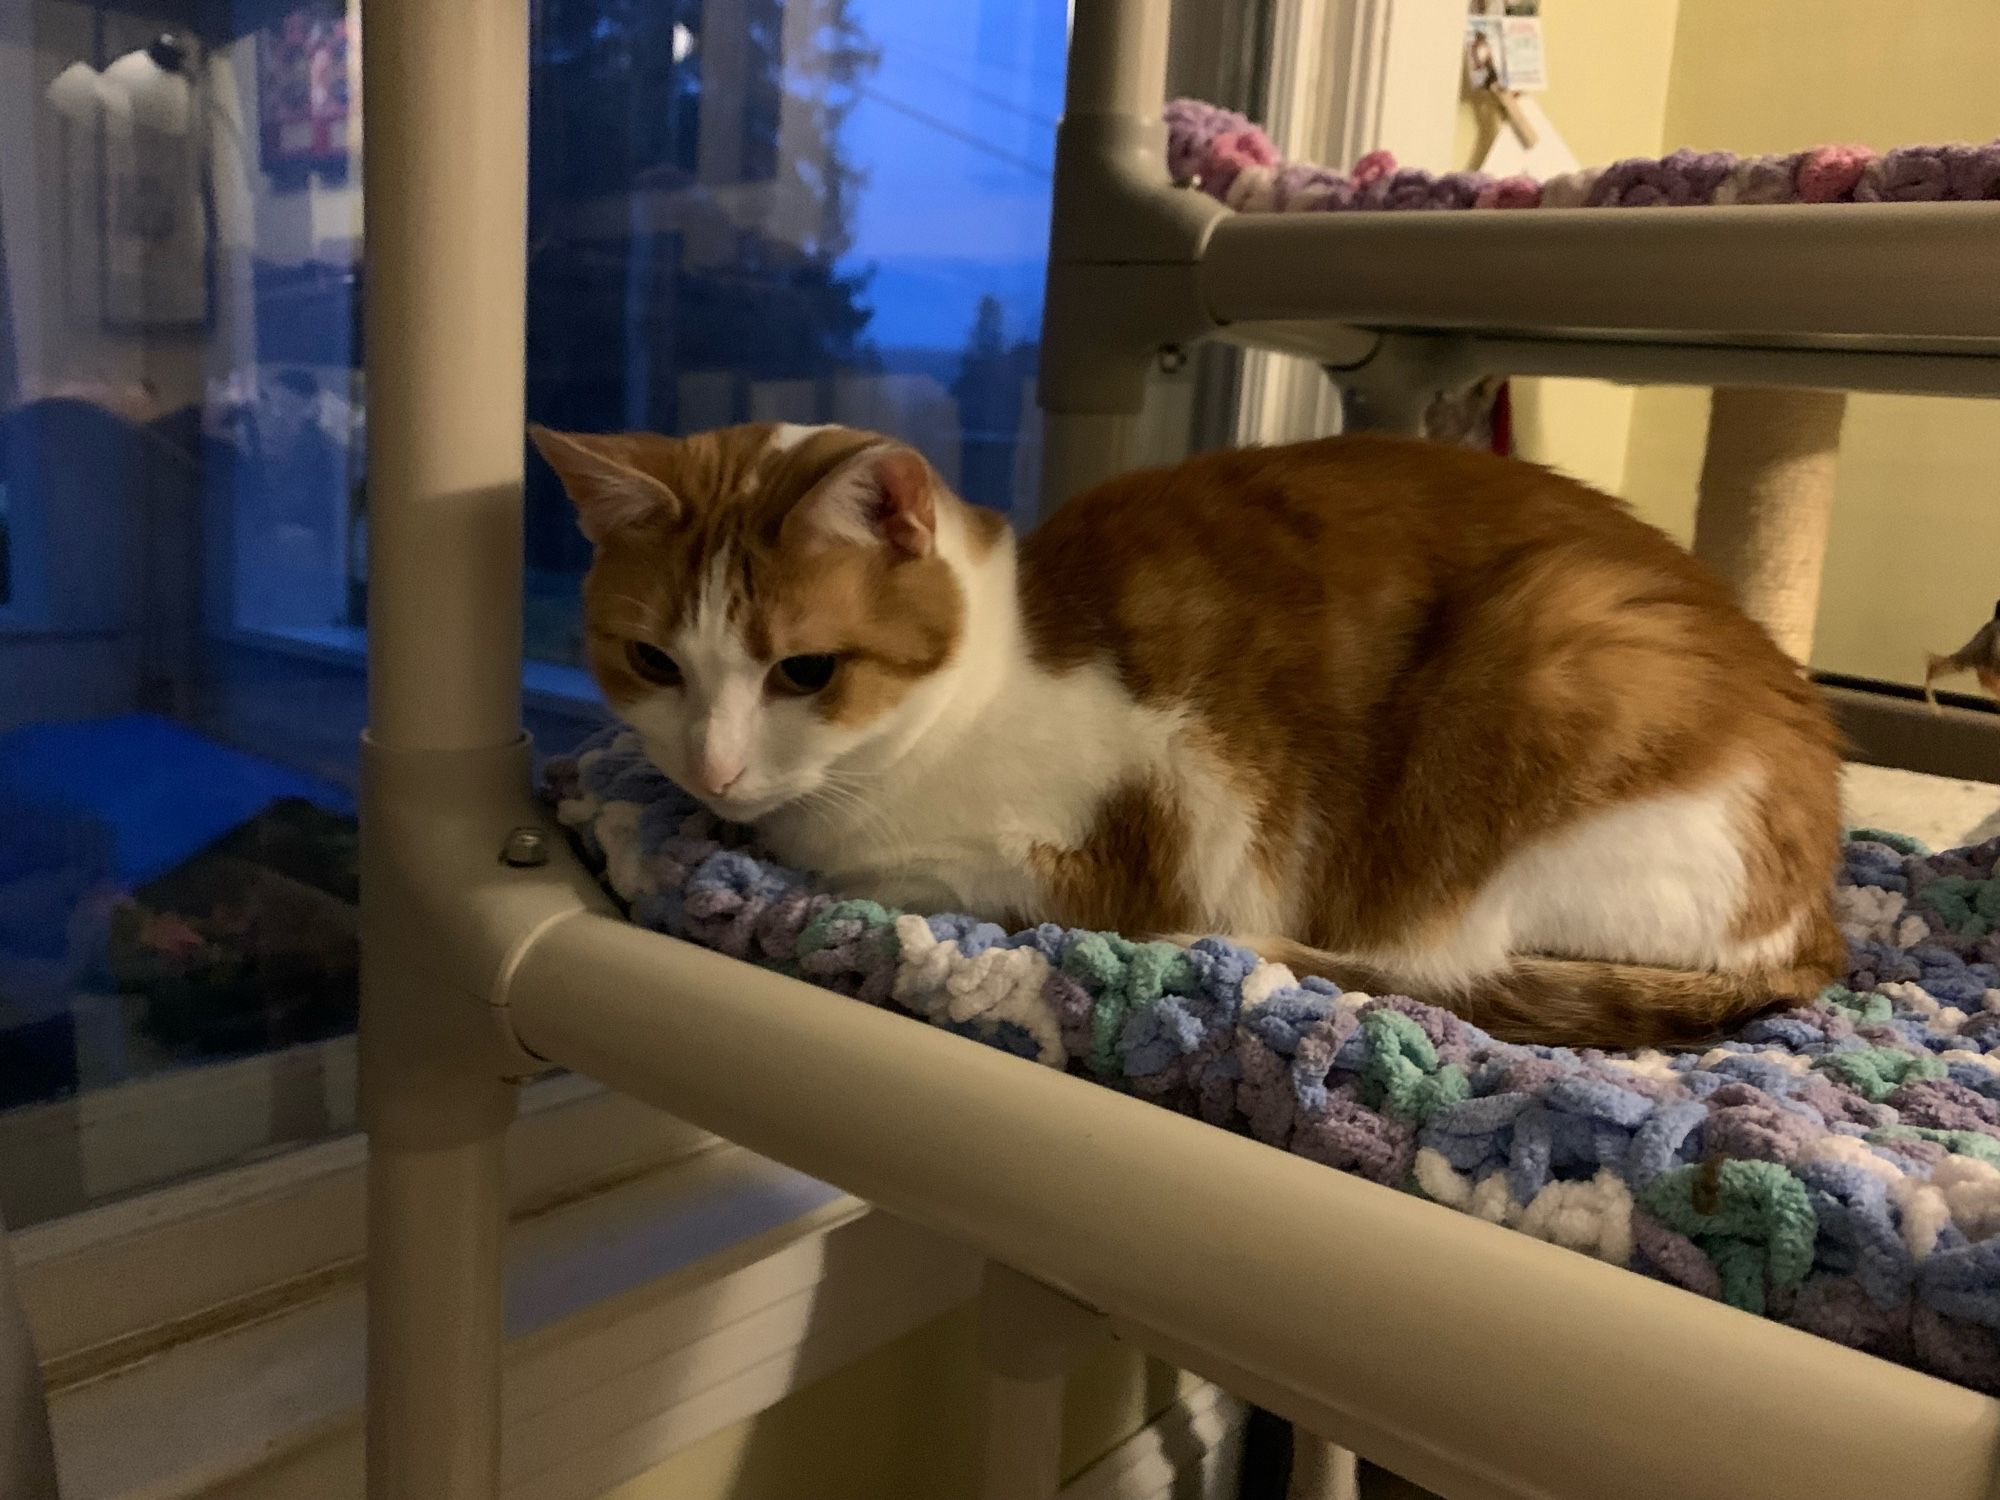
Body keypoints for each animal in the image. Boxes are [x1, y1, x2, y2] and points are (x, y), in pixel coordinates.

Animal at [532, 418, 1840, 1040]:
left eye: (804, 671)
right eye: (652, 663)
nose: (713, 767)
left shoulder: (1111, 842)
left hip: (1554, 670)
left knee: (1441, 959)